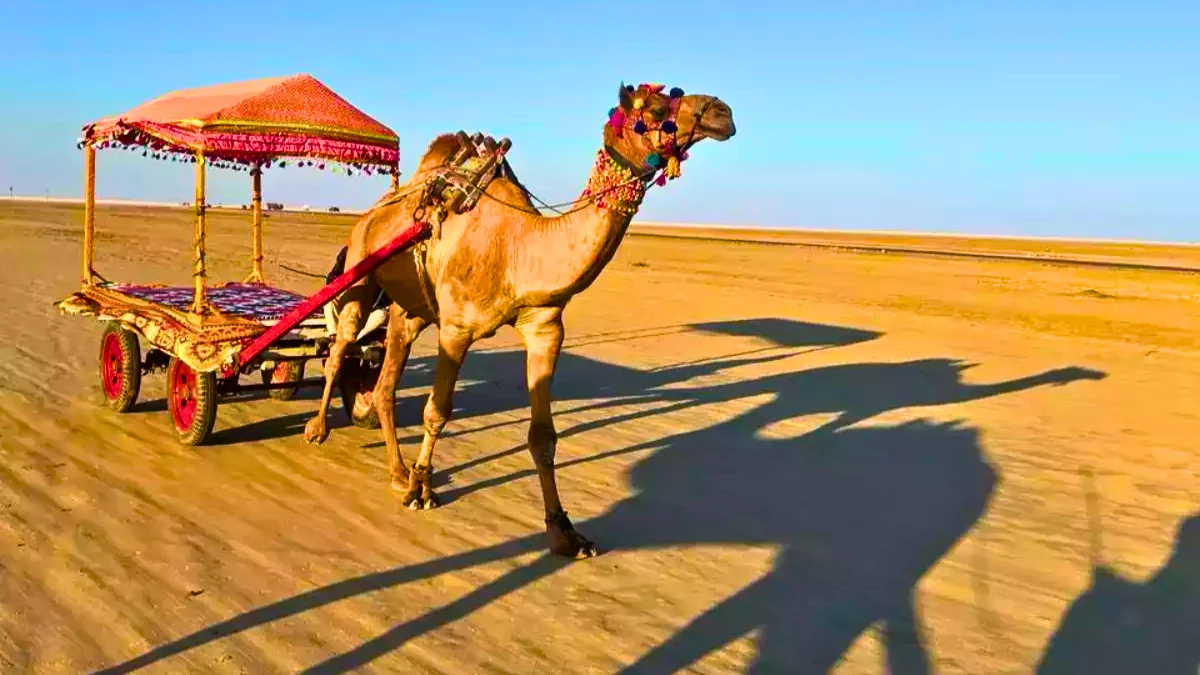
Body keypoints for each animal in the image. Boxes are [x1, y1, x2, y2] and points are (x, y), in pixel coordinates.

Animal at [302, 81, 729, 557]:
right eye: (653, 110)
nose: (721, 112)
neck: (519, 248)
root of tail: (375, 209)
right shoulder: (456, 328)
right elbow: (437, 412)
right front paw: (423, 489)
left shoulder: (545, 328)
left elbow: (543, 436)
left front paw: (564, 532)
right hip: (360, 269)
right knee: (340, 347)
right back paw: (319, 430)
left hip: (409, 310)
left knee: (384, 384)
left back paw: (397, 473)